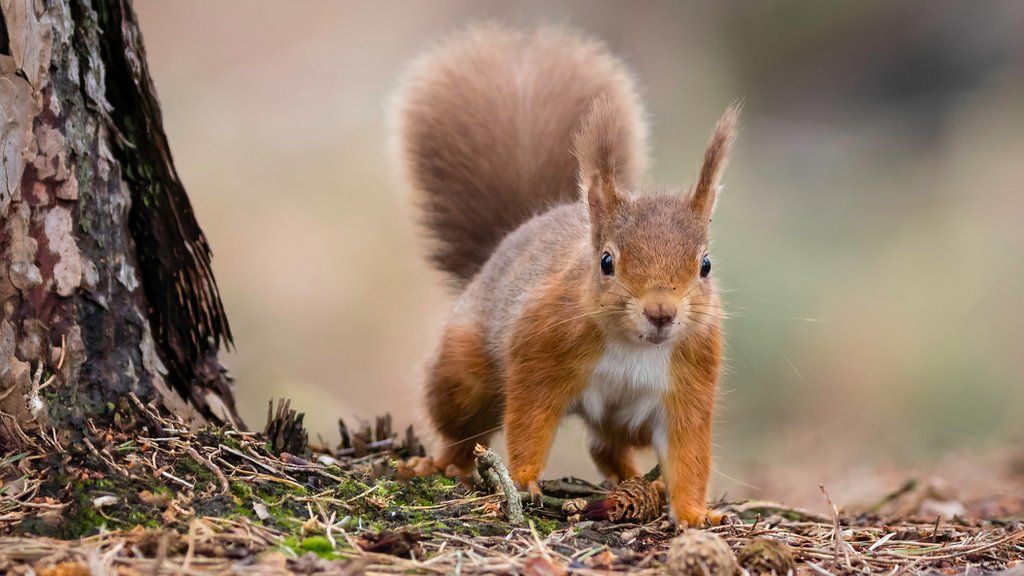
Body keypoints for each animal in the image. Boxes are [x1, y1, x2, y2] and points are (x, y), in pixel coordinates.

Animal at [393, 24, 737, 527]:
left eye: (705, 265)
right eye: (607, 262)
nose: (661, 313)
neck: (633, 345)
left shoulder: (690, 384)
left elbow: (689, 453)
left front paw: (695, 514)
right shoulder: (540, 355)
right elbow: (529, 420)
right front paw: (524, 479)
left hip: (625, 422)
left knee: (607, 448)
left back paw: (634, 482)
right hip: (464, 376)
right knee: (461, 428)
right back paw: (440, 464)